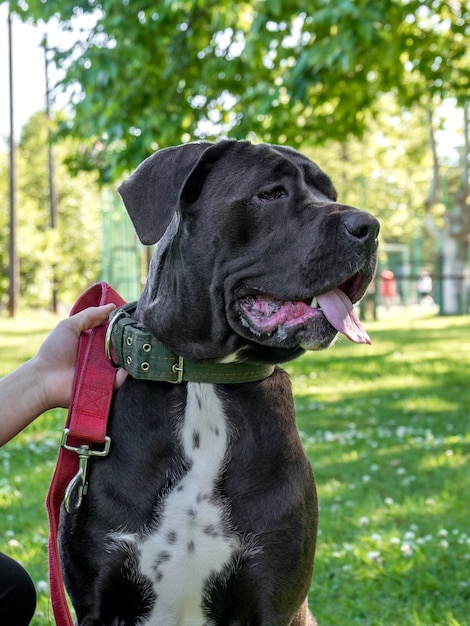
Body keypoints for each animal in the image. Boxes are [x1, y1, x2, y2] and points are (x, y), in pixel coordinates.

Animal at [60, 141, 380, 624]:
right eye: (270, 193)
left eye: (330, 193)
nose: (370, 227)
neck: (203, 377)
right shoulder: (99, 601)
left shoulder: (273, 597)